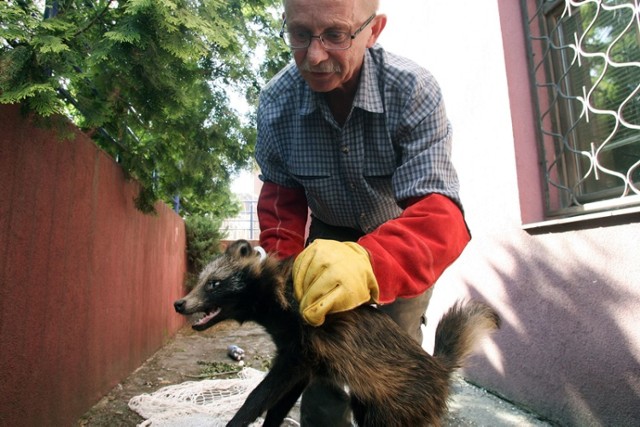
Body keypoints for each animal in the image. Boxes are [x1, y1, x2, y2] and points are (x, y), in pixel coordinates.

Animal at [174, 241, 500, 427]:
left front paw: (240, 417)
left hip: (402, 404)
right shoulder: (300, 356)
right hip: (373, 398)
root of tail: (438, 367)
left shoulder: (301, 344)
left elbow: (263, 392)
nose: (180, 303)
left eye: (214, 283)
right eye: (203, 280)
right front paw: (270, 421)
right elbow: (283, 396)